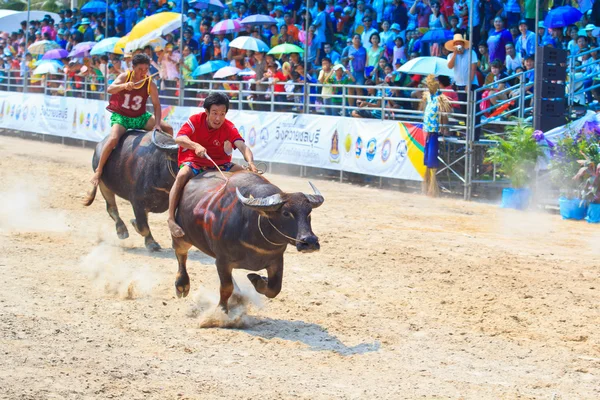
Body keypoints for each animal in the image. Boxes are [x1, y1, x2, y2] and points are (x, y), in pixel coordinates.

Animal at [173, 170, 324, 310]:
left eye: (309, 212)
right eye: (286, 213)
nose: (310, 241)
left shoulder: (276, 260)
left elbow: (274, 288)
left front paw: (258, 280)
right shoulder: (222, 261)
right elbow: (226, 288)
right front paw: (221, 311)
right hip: (182, 237)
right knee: (181, 255)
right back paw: (182, 285)